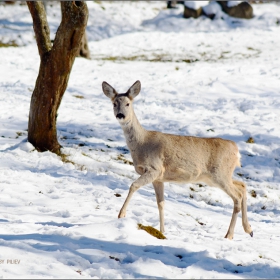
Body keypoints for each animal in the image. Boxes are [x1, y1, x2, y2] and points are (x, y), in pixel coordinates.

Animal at [102, 80, 254, 240]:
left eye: (128, 103)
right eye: (114, 103)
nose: (120, 115)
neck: (142, 143)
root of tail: (236, 151)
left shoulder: (155, 169)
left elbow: (133, 185)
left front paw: (121, 214)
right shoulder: (159, 178)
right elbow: (161, 203)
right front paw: (163, 231)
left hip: (220, 174)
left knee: (237, 196)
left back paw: (229, 235)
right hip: (216, 176)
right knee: (242, 186)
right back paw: (249, 229)